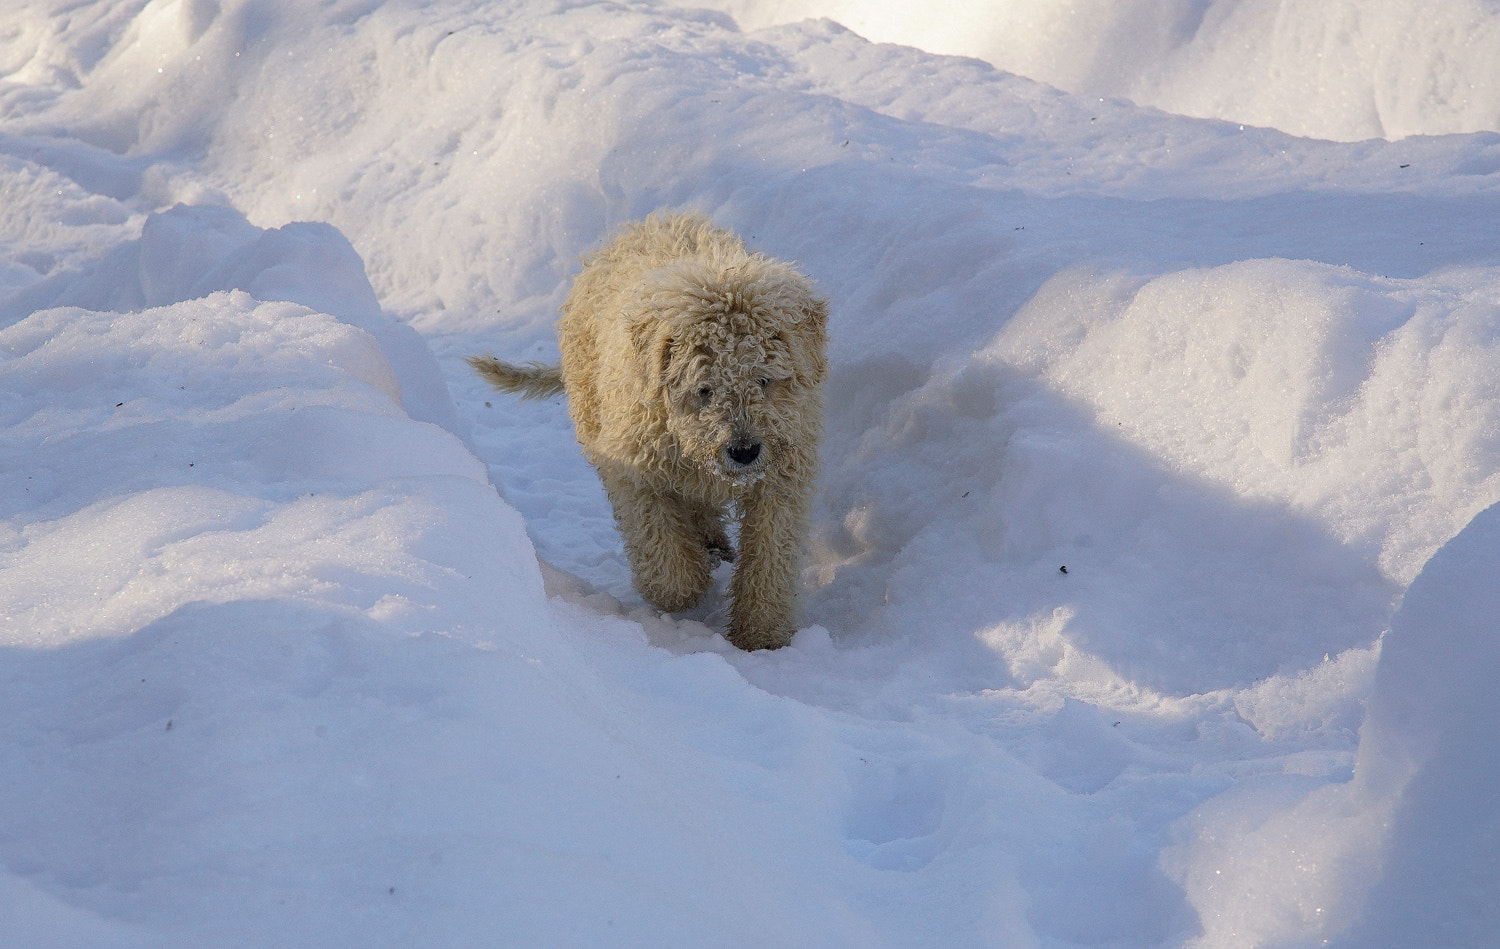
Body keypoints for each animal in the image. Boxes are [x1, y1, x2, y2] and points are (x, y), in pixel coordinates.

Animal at [468, 211, 828, 647]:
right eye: (703, 389)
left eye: (764, 380)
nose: (744, 452)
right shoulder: (637, 472)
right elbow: (666, 560)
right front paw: (686, 585)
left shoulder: (782, 478)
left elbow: (771, 556)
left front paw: (762, 633)